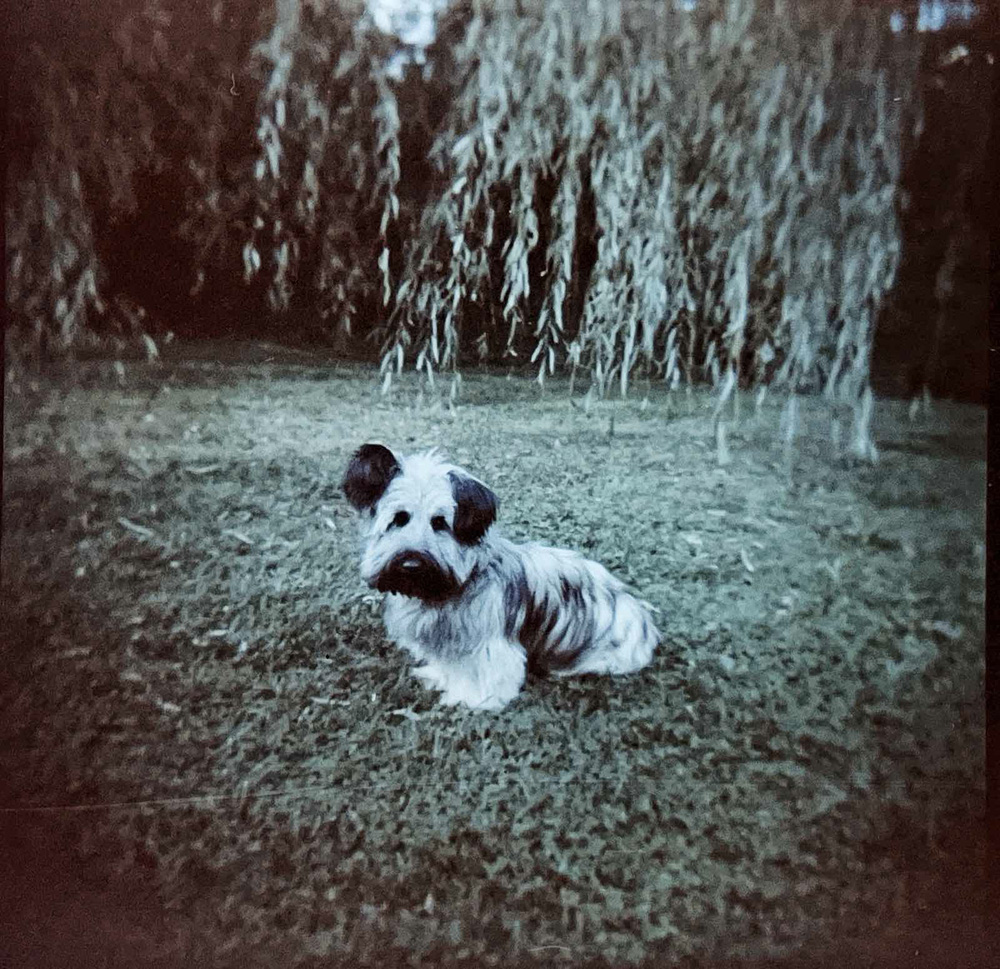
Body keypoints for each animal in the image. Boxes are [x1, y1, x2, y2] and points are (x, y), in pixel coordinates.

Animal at [340, 442, 660, 708]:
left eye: (440, 523)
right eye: (399, 519)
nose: (411, 565)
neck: (458, 583)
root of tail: (643, 618)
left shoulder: (489, 645)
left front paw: (473, 700)